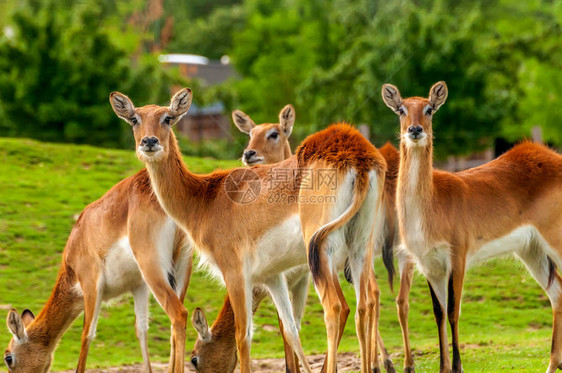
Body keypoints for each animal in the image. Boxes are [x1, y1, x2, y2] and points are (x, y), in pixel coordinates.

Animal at [3, 169, 192, 372]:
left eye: (8, 357)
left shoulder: (91, 284)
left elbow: (87, 333)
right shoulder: (138, 286)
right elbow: (141, 329)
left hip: (153, 270)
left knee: (179, 314)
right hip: (180, 272)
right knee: (173, 324)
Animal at [111, 88, 388, 372]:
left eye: (167, 118)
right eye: (134, 119)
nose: (149, 142)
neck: (205, 199)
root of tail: (355, 152)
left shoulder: (235, 273)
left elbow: (243, 335)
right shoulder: (271, 276)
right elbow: (291, 330)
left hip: (323, 251)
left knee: (336, 307)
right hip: (359, 247)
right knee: (365, 305)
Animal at [382, 81, 560, 372]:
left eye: (429, 109)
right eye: (401, 110)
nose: (415, 130)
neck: (431, 206)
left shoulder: (457, 257)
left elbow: (454, 310)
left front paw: (457, 366)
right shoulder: (429, 265)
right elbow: (439, 312)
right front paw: (443, 367)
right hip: (531, 250)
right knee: (557, 293)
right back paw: (551, 364)